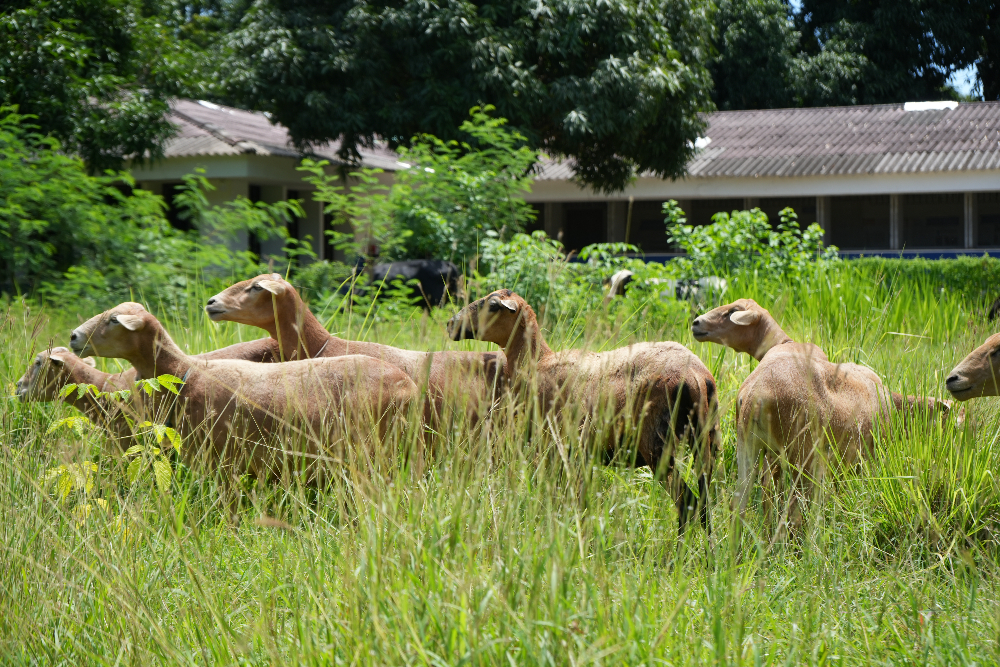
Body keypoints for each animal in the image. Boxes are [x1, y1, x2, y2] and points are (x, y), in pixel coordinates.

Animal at [66, 304, 418, 490]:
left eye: (113, 320)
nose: (73, 336)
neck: (189, 372)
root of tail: (408, 386)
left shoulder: (224, 462)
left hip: (372, 450)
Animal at [446, 290, 720, 536]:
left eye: (492, 305)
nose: (450, 324)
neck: (537, 362)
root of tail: (696, 376)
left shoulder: (554, 449)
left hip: (657, 444)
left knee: (686, 503)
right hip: (706, 441)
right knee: (704, 504)